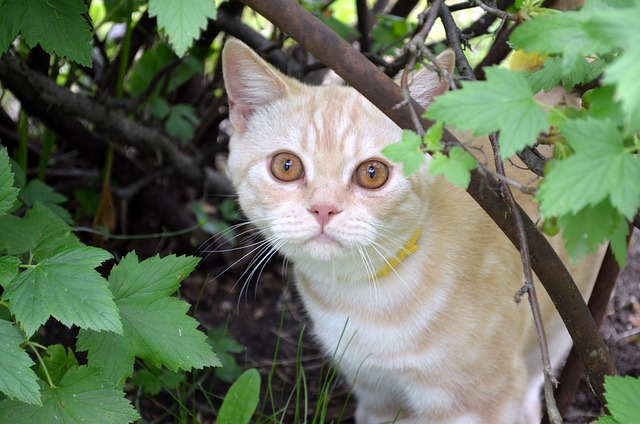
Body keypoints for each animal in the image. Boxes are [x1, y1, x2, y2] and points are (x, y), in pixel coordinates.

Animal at [220, 38, 600, 422]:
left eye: (372, 173)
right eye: (286, 166)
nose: (323, 208)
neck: (360, 297)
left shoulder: (481, 405)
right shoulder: (374, 395)